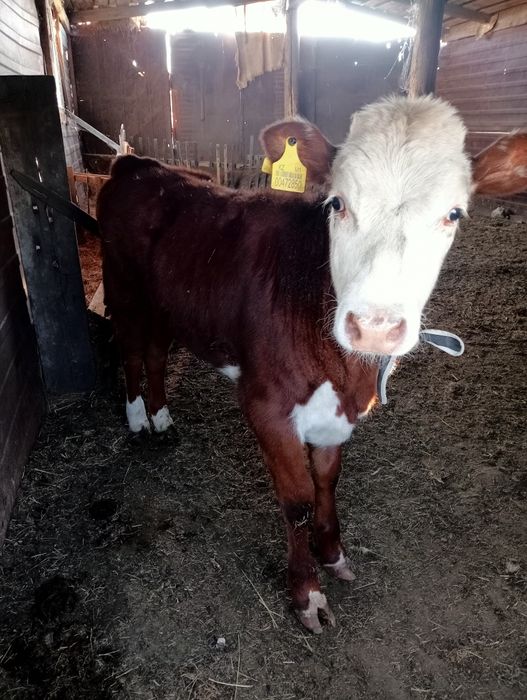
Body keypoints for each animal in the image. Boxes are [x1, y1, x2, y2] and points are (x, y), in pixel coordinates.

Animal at [97, 95, 527, 633]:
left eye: (453, 213)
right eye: (336, 203)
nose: (376, 326)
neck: (346, 372)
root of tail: (138, 164)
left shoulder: (338, 409)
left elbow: (327, 478)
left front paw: (333, 552)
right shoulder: (266, 404)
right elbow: (298, 500)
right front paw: (306, 593)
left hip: (167, 301)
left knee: (155, 352)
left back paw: (162, 419)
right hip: (123, 287)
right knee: (130, 348)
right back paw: (137, 418)